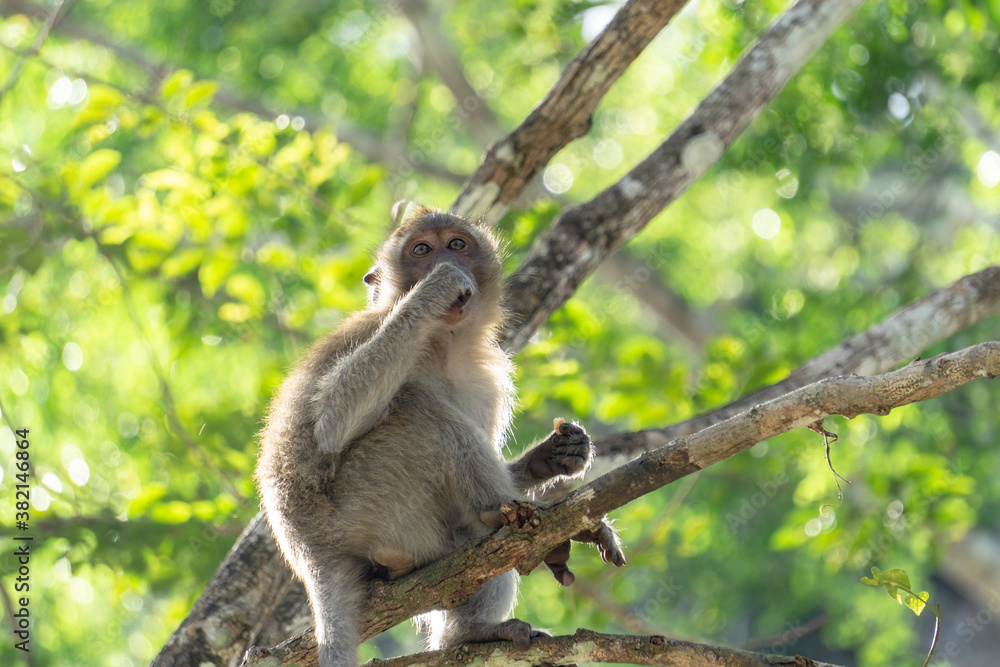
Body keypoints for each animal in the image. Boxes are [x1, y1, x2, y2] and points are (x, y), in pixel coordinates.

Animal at [255, 202, 624, 667]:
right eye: (421, 250)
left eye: (457, 244)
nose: (444, 261)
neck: (442, 344)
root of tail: (310, 555)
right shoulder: (366, 331)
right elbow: (331, 424)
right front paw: (437, 286)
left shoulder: (487, 379)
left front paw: (555, 455)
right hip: (364, 512)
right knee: (419, 408)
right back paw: (497, 516)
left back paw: (470, 632)